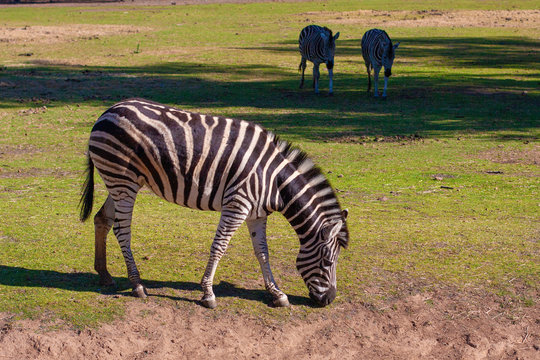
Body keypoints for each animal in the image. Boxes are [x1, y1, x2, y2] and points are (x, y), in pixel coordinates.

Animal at [80, 99, 350, 310]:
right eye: (328, 262)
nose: (329, 300)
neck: (274, 180)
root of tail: (107, 112)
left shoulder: (257, 213)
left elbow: (262, 252)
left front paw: (277, 293)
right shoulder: (237, 205)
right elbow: (219, 246)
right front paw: (208, 293)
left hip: (122, 183)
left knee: (102, 219)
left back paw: (104, 274)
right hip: (122, 180)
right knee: (121, 230)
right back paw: (136, 284)